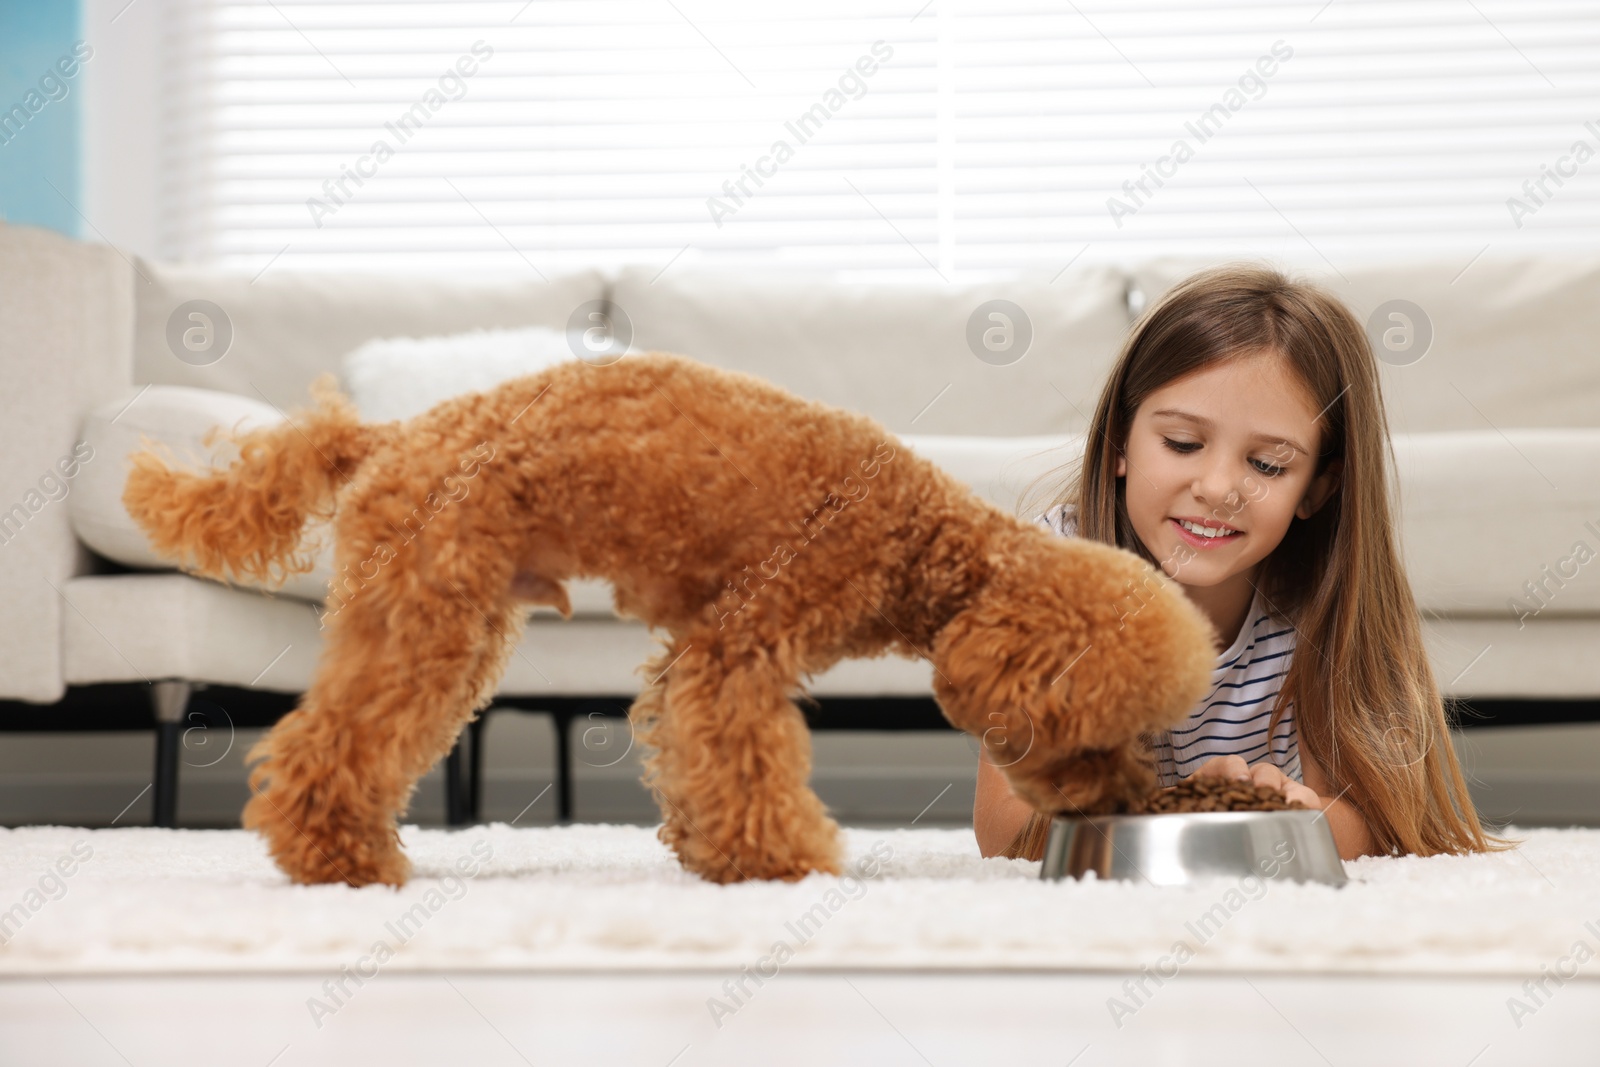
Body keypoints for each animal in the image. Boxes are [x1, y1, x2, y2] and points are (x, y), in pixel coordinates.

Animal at [121, 355, 1209, 889]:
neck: (919, 537)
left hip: (446, 621)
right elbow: (744, 751)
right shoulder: (740, 643)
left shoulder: (689, 654)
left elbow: (695, 755)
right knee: (326, 745)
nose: (1126, 797)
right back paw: (341, 863)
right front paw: (779, 863)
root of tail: (389, 434)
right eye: (1088, 731)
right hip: (431, 619)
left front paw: (704, 847)